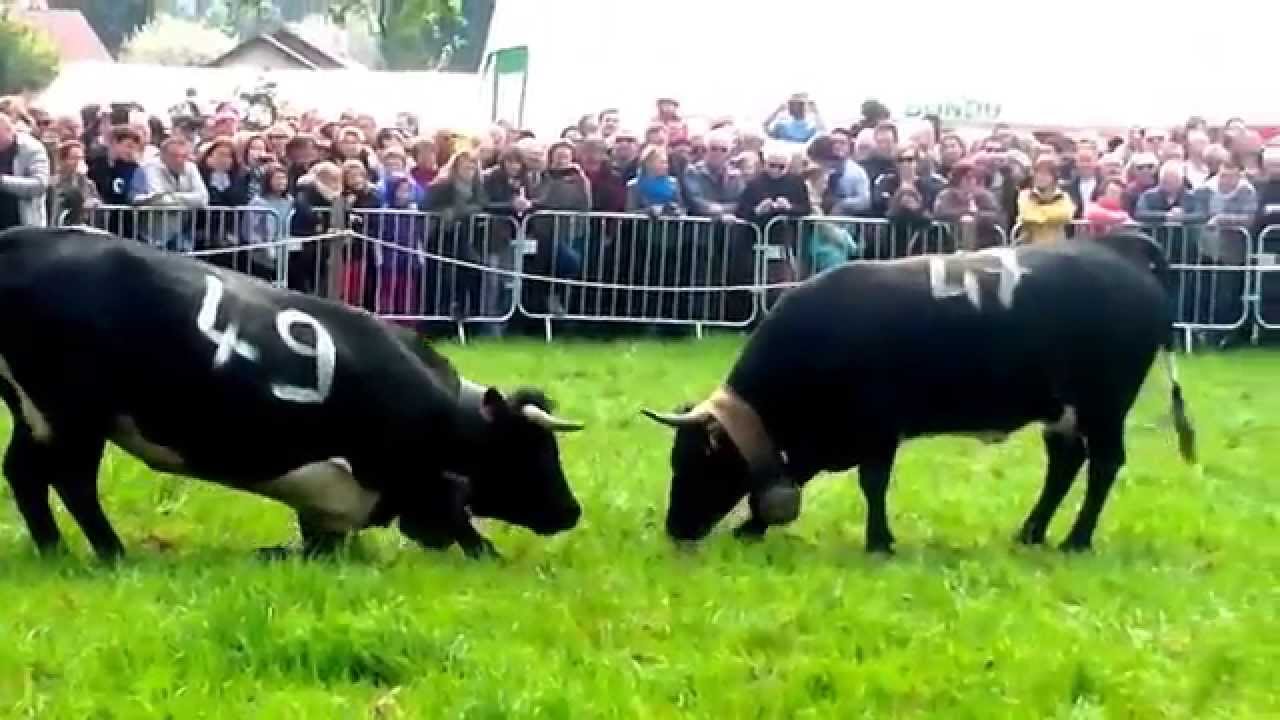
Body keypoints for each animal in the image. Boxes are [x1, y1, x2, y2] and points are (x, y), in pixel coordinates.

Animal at [0, 225, 585, 563]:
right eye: (537, 449)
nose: (571, 510)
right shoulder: (419, 483)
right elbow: (467, 532)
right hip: (72, 412)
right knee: (72, 481)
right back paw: (111, 552)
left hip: (36, 412)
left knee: (25, 474)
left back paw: (54, 552)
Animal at [642, 230, 1197, 553]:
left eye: (696, 461)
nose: (676, 529)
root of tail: (1125, 257)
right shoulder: (827, 438)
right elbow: (795, 476)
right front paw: (753, 527)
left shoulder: (875, 429)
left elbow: (871, 483)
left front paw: (879, 542)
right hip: (1062, 411)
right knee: (1065, 464)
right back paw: (1031, 532)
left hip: (1105, 405)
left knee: (1103, 465)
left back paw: (1076, 541)